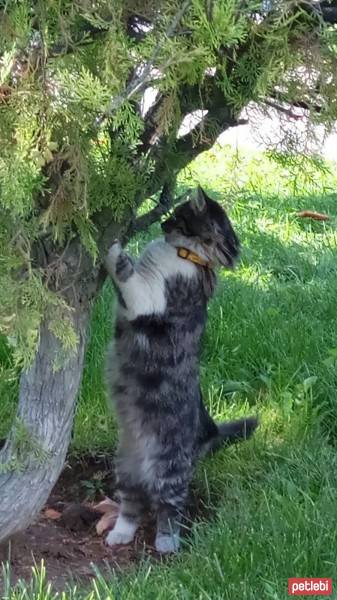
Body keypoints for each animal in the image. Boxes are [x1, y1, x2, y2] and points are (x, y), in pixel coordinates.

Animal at [105, 186, 258, 552]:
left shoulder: (148, 298)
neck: (189, 257)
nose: (161, 223)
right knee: (132, 504)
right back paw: (120, 533)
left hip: (168, 468)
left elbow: (124, 270)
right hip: (125, 466)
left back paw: (166, 541)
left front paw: (113, 245)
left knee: (170, 506)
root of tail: (209, 430)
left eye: (177, 215)